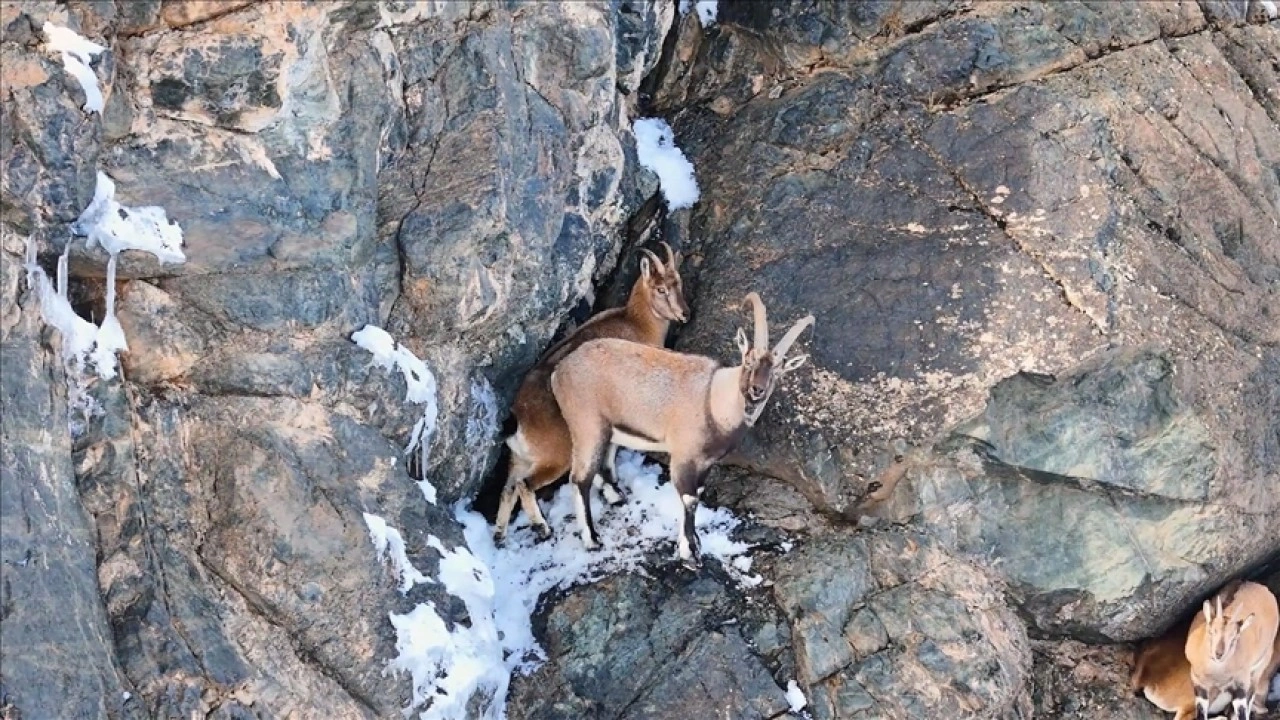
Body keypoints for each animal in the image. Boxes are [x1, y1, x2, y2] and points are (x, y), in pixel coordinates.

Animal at [491, 240, 691, 543]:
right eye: (661, 289)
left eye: (678, 282)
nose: (685, 313)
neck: (636, 323)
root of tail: (519, 418)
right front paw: (613, 487)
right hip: (555, 456)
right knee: (526, 486)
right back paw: (544, 527)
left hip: (519, 459)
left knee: (507, 489)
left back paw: (500, 534)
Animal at [547, 288, 808, 563]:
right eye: (749, 360)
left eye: (777, 371)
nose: (757, 391)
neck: (713, 399)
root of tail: (559, 371)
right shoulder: (683, 457)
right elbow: (689, 499)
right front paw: (689, 552)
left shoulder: (705, 463)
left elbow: (698, 494)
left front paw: (694, 543)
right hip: (588, 425)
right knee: (579, 478)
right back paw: (592, 540)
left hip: (606, 430)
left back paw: (615, 496)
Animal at [1182, 576, 1274, 717]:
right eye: (1211, 631)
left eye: (1234, 638)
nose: (1218, 654)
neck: (1217, 675)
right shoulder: (1198, 681)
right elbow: (1201, 710)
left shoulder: (1240, 682)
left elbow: (1241, 708)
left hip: (1260, 665)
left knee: (1251, 695)